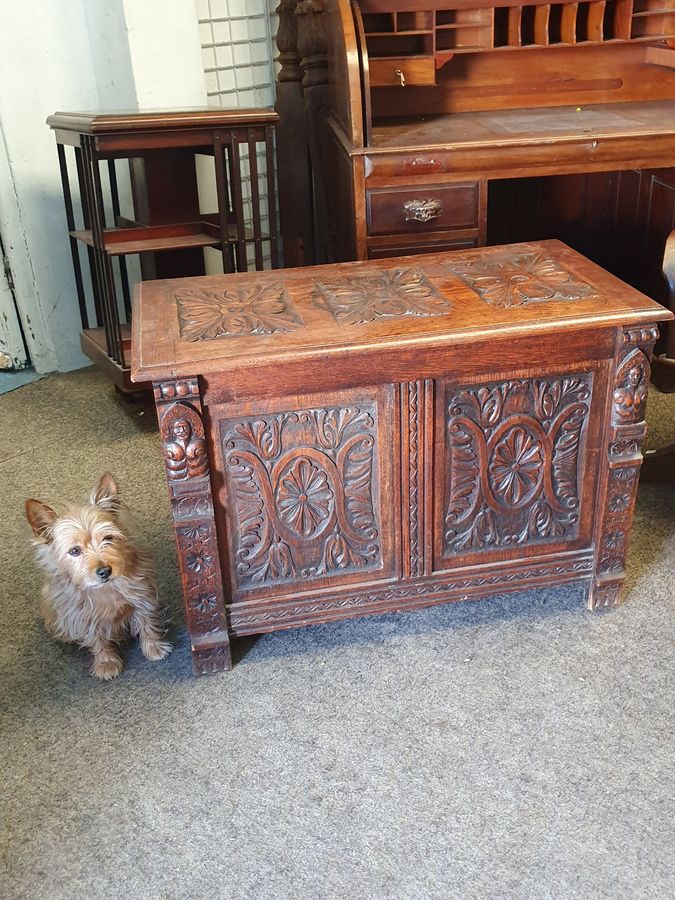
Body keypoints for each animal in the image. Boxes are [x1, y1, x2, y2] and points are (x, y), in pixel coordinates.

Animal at [26, 474, 173, 680]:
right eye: (74, 551)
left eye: (108, 538)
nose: (104, 571)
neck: (105, 590)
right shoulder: (83, 617)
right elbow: (96, 640)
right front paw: (106, 663)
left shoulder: (142, 596)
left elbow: (147, 623)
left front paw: (154, 648)